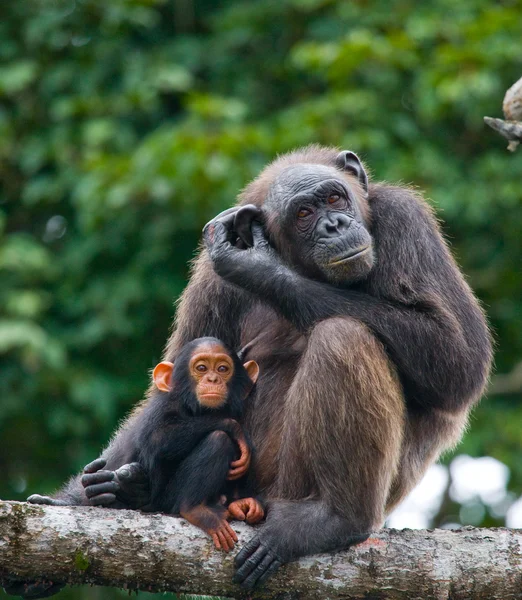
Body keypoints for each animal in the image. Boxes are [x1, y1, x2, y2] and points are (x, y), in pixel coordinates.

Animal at [16, 145, 488, 592]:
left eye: (333, 197)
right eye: (303, 214)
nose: (334, 225)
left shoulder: (408, 221)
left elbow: (458, 360)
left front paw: (257, 267)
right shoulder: (207, 279)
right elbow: (169, 382)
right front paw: (77, 499)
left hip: (286, 491)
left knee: (344, 336)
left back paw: (335, 519)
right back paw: (126, 489)